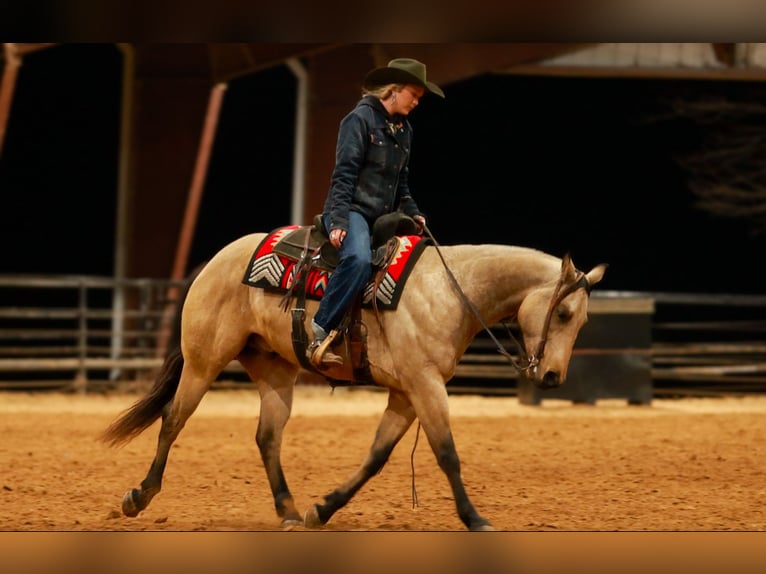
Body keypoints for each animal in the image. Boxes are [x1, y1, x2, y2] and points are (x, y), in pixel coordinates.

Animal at [100, 227, 607, 531]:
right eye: (563, 313)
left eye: (583, 321)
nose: (552, 376)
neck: (450, 290)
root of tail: (216, 261)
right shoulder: (425, 386)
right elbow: (447, 454)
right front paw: (474, 518)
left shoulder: (405, 393)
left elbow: (376, 457)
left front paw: (322, 509)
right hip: (203, 361)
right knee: (173, 419)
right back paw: (139, 496)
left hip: (274, 370)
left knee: (267, 437)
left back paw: (288, 510)